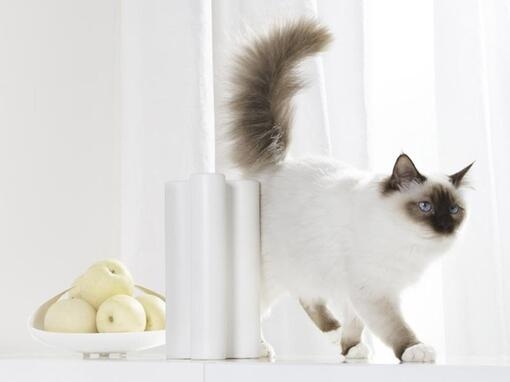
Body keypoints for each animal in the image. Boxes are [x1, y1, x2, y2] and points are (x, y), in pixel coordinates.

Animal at [227, 18, 474, 364]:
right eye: (425, 207)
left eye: (453, 210)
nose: (445, 226)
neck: (409, 244)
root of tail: (274, 167)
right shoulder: (373, 289)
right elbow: (395, 328)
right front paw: (416, 350)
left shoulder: (361, 289)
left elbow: (356, 320)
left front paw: (351, 349)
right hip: (269, 274)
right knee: (256, 308)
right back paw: (257, 349)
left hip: (305, 266)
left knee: (307, 297)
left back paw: (334, 334)